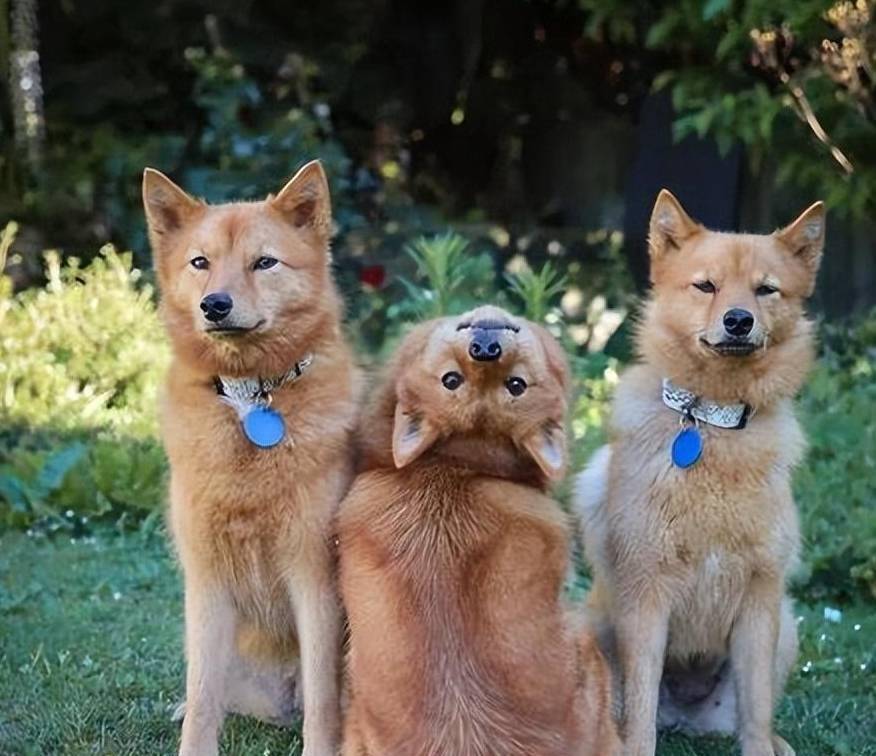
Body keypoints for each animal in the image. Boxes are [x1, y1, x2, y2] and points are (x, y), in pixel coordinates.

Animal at [142, 161, 358, 756]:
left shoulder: (314, 576)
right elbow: (203, 696)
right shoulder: (206, 583)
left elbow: (323, 700)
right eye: (200, 262)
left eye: (265, 262)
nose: (214, 304)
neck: (251, 399)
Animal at [574, 190, 825, 756]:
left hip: (786, 623)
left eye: (765, 289)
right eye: (705, 285)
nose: (738, 320)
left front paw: (761, 747)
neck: (712, 421)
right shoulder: (647, 594)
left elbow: (755, 708)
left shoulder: (760, 597)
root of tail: (684, 720)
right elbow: (640, 709)